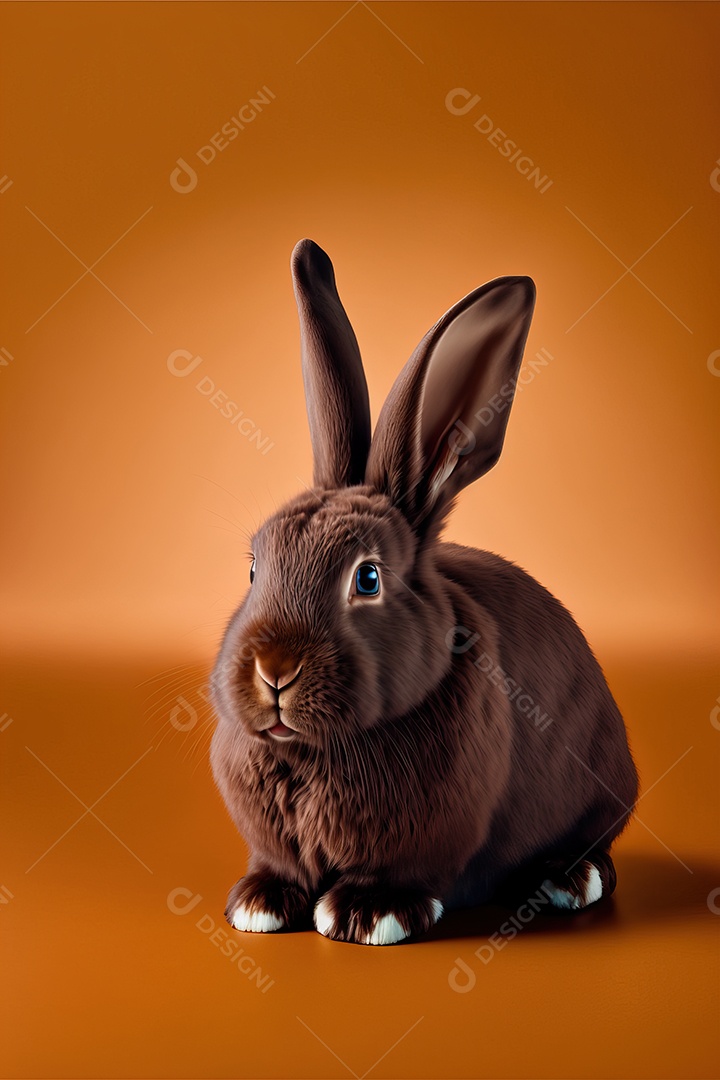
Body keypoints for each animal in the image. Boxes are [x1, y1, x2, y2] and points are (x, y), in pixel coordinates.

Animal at [209, 238, 639, 946]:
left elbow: (402, 874)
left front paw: (367, 914)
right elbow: (280, 869)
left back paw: (567, 879)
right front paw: (260, 903)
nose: (274, 669)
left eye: (368, 577)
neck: (315, 749)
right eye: (253, 567)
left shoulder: (427, 840)